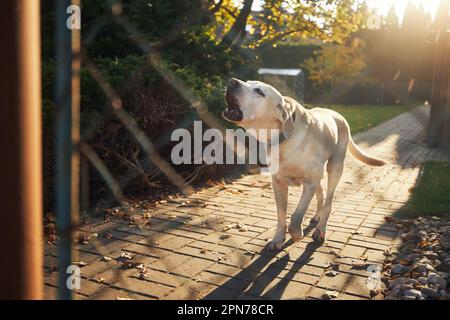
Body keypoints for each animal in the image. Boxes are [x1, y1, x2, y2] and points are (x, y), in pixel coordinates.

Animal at [223, 78, 384, 250]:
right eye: (247, 82)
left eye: (259, 91)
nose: (232, 81)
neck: (283, 139)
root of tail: (339, 115)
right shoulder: (279, 184)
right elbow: (281, 215)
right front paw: (278, 239)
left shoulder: (309, 183)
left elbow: (296, 216)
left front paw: (296, 234)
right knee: (321, 195)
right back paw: (317, 217)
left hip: (334, 167)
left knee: (328, 202)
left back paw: (320, 230)